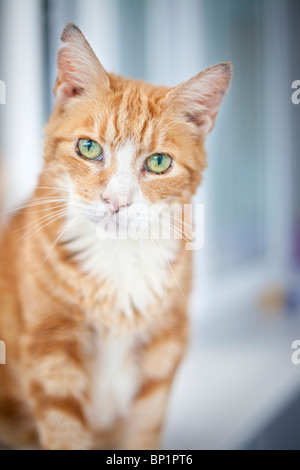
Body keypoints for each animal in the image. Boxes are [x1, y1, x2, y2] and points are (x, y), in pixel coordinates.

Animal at [0, 23, 231, 450]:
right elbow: (66, 434)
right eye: (89, 148)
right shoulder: (49, 352)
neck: (118, 258)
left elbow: (142, 431)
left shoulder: (161, 355)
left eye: (158, 162)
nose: (116, 201)